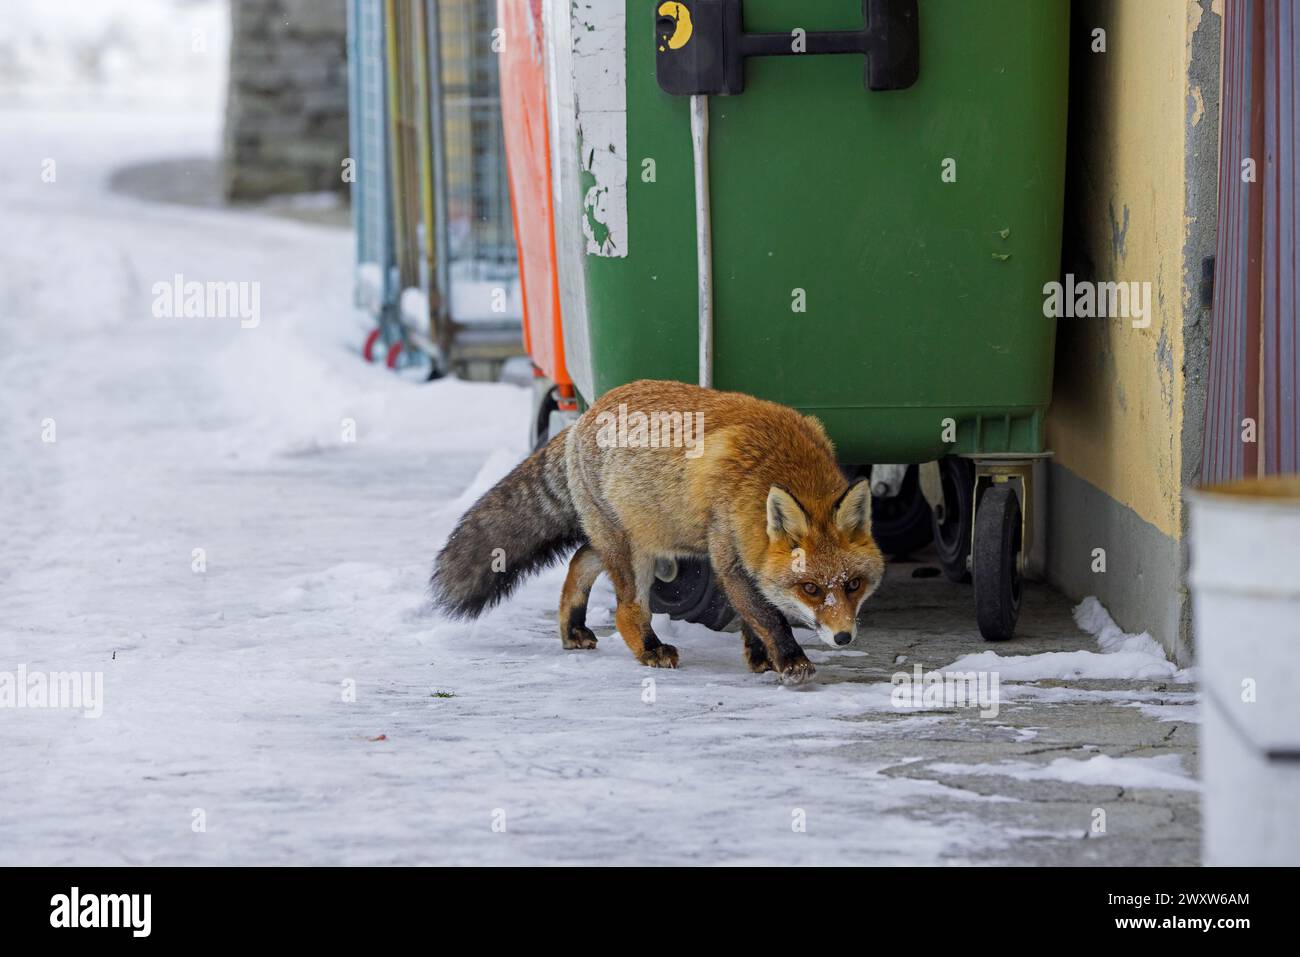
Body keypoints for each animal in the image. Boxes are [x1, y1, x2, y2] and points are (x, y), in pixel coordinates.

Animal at [431, 377, 889, 686]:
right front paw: (790, 660)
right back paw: (650, 649)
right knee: (626, 608)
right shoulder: (729, 556)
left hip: (637, 537)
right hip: (633, 553)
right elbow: (766, 616)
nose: (844, 637)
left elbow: (752, 618)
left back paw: (572, 630)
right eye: (811, 589)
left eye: (853, 585)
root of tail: (584, 416)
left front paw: (761, 658)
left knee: (580, 559)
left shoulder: (745, 558)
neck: (770, 467)